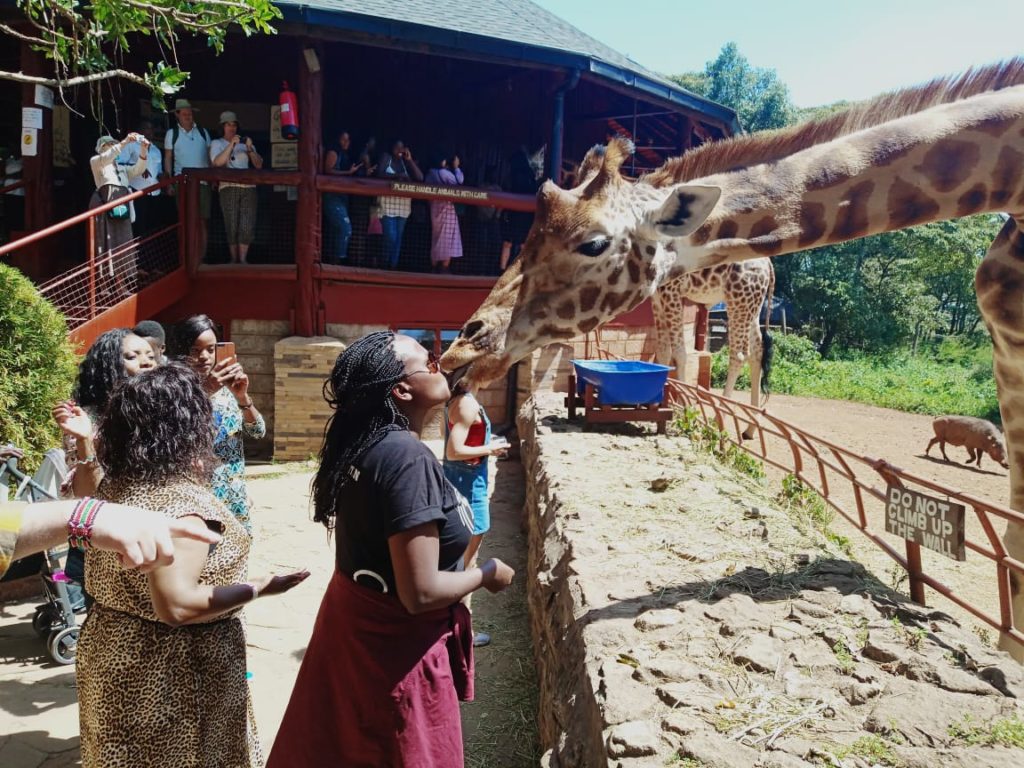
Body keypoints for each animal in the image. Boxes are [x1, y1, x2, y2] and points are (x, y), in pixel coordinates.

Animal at [651, 259, 770, 411]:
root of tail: (769, 266)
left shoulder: (671, 287)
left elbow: (679, 354)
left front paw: (684, 406)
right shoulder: (656, 294)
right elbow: (663, 352)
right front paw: (655, 401)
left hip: (739, 303)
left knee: (738, 356)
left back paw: (722, 412)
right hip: (753, 307)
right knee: (757, 352)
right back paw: (755, 414)